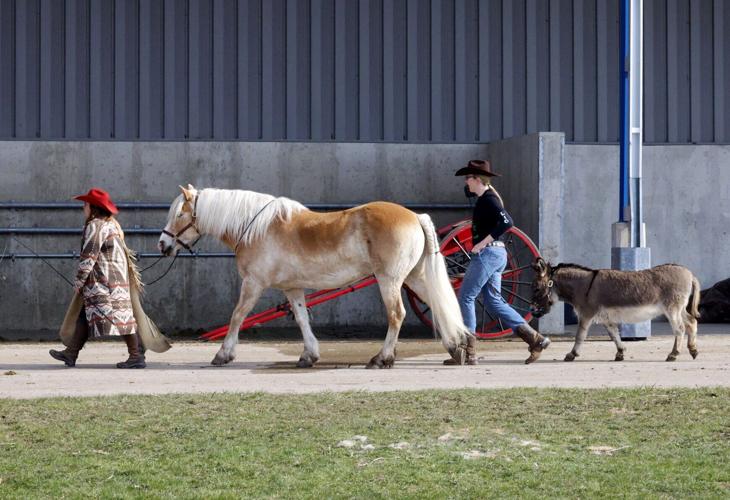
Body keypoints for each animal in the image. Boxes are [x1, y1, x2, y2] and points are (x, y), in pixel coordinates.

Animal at [158, 185, 471, 368]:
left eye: (179, 215)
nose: (162, 245)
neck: (256, 228)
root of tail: (414, 216)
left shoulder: (253, 283)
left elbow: (237, 316)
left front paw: (224, 354)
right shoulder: (292, 289)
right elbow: (301, 319)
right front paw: (309, 355)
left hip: (389, 280)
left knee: (396, 315)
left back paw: (383, 358)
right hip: (414, 277)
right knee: (440, 306)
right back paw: (458, 348)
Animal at [530, 258, 700, 362]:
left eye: (536, 288)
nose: (532, 310)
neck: (584, 286)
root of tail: (689, 273)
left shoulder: (586, 314)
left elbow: (580, 336)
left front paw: (572, 354)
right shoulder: (606, 318)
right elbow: (614, 335)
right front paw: (620, 352)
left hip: (672, 309)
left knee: (680, 329)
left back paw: (673, 354)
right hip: (679, 309)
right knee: (691, 322)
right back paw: (693, 350)